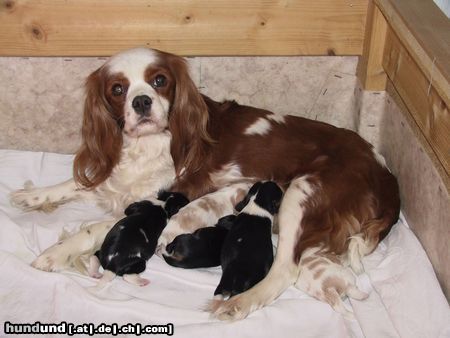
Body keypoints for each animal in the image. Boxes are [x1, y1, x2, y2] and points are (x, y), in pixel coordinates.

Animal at [8, 46, 400, 320]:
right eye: (118, 89)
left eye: (159, 80)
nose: (142, 101)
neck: (148, 144)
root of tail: (383, 169)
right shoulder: (119, 180)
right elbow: (78, 183)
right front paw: (34, 195)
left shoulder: (162, 201)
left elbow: (93, 228)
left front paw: (56, 252)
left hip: (302, 193)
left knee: (285, 268)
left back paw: (240, 302)